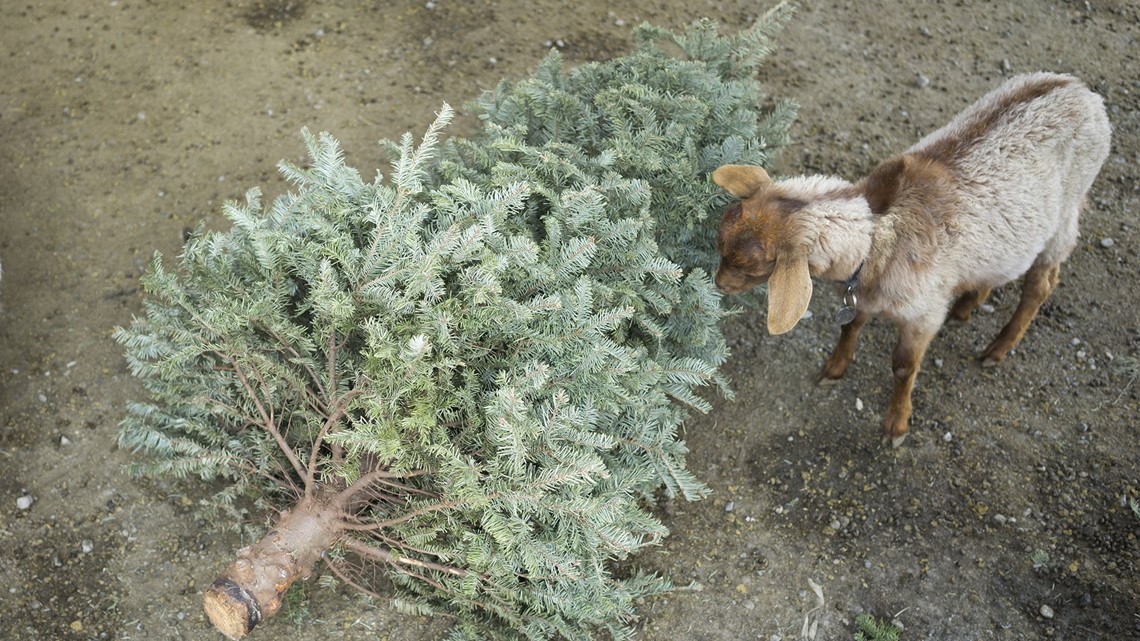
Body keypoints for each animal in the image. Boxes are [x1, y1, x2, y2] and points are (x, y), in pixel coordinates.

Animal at [712, 72, 1111, 447]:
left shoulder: (923, 312)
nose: (718, 285)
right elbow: (849, 327)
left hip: (1066, 215)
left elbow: (903, 367)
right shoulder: (862, 294)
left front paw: (895, 425)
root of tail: (1081, 90)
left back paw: (997, 349)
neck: (879, 235)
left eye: (752, 266)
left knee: (1041, 283)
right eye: (720, 243)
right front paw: (834, 367)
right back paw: (967, 304)